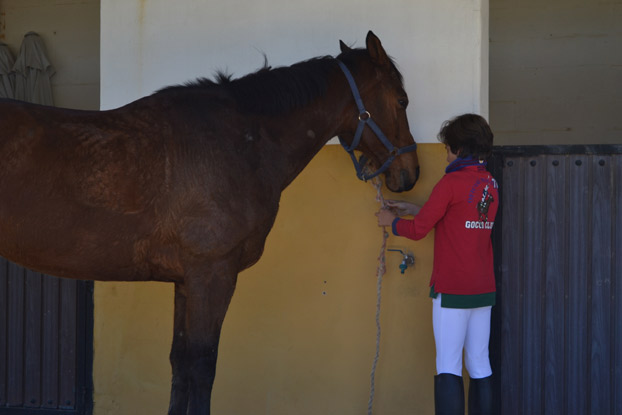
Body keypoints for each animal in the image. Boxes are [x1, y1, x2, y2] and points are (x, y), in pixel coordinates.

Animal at [0, 33, 422, 415]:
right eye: (402, 101)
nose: (410, 174)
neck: (239, 141)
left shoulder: (186, 280)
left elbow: (180, 362)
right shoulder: (213, 272)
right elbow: (203, 364)